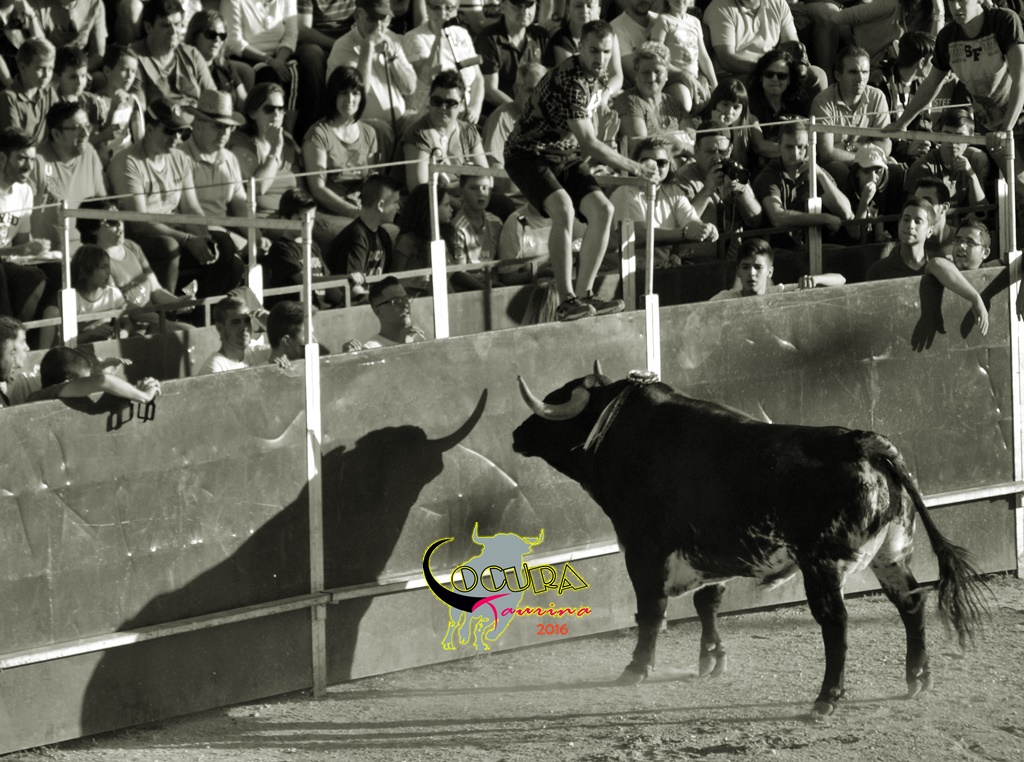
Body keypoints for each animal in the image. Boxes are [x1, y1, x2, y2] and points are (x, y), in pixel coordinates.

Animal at [512, 364, 988, 718]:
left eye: (555, 400)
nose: (516, 434)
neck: (625, 432)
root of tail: (866, 443)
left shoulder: (644, 551)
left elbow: (650, 613)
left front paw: (637, 668)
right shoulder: (711, 553)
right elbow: (708, 602)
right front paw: (711, 659)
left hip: (822, 565)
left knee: (836, 622)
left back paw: (826, 698)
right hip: (892, 553)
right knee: (911, 603)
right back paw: (917, 678)